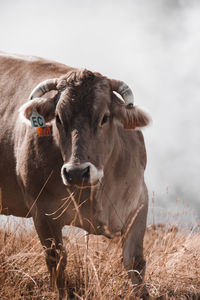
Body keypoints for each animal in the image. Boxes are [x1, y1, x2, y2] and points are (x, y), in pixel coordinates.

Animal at [0, 52, 150, 298]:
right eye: (59, 118)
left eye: (104, 117)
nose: (77, 172)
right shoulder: (42, 211)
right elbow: (57, 259)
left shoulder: (139, 203)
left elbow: (135, 261)